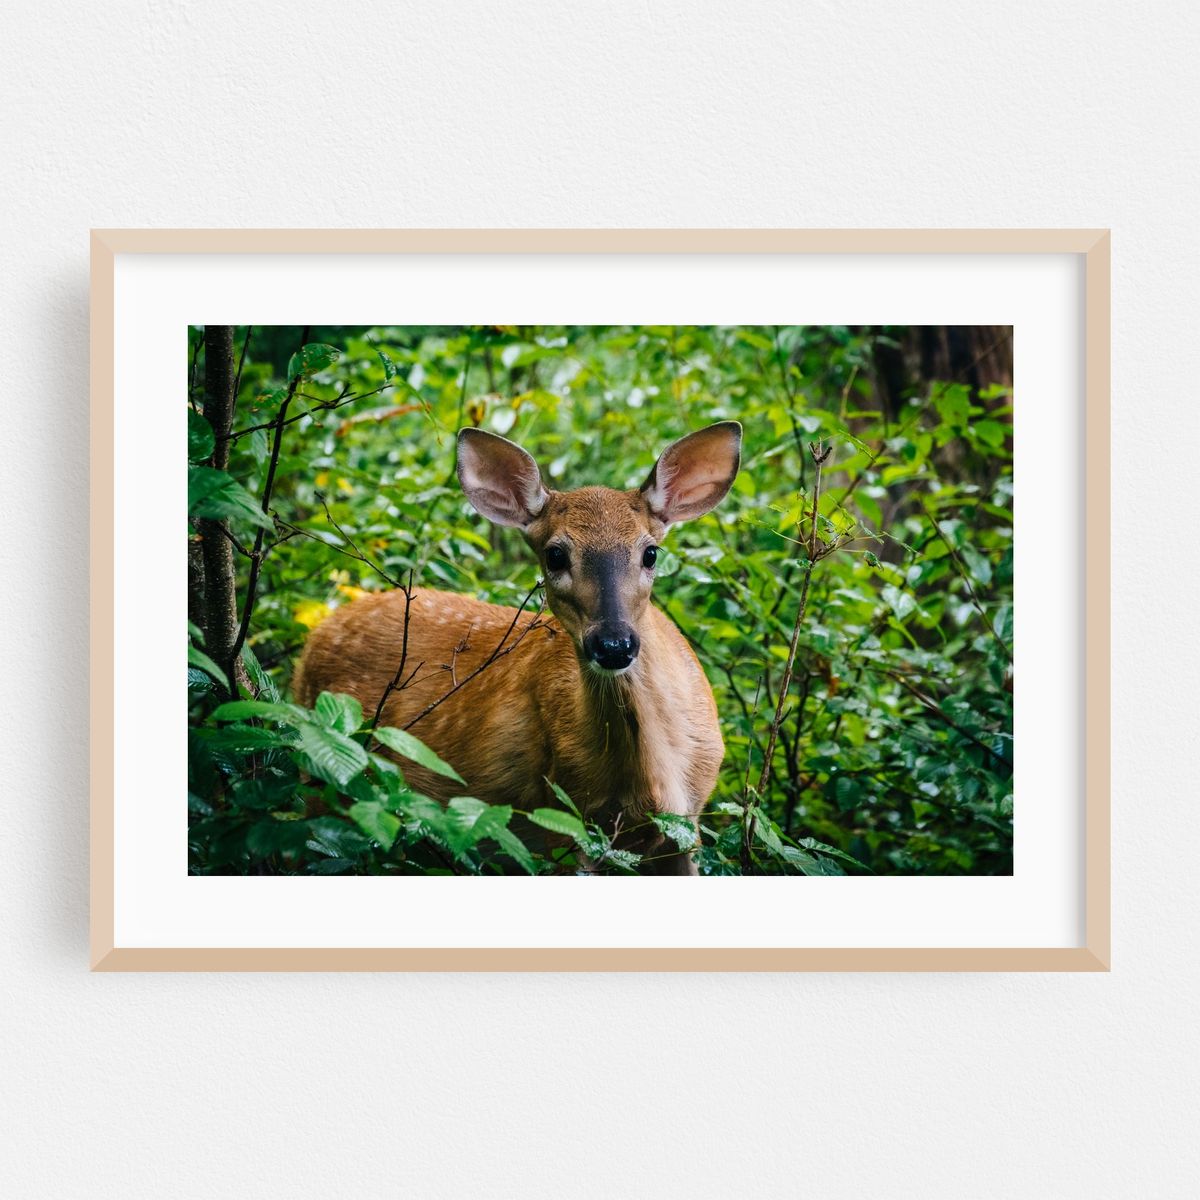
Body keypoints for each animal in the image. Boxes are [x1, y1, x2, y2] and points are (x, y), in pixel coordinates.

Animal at [293, 420, 742, 875]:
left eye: (651, 552)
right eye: (555, 555)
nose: (614, 644)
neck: (648, 778)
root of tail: (317, 632)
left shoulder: (686, 823)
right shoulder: (561, 820)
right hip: (318, 774)